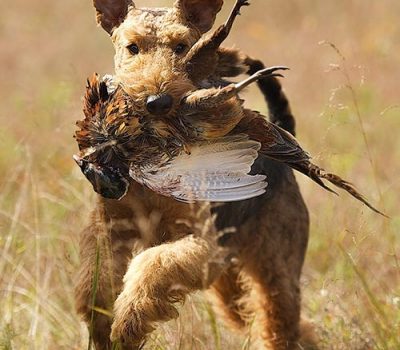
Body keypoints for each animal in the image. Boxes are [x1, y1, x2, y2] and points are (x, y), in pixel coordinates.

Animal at [75, 0, 318, 350]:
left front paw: (128, 324)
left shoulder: (203, 244)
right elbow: (95, 279)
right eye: (133, 47)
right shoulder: (109, 226)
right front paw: (101, 325)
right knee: (289, 326)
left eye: (182, 46)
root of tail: (279, 129)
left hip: (274, 268)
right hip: (230, 284)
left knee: (280, 324)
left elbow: (154, 264)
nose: (157, 101)